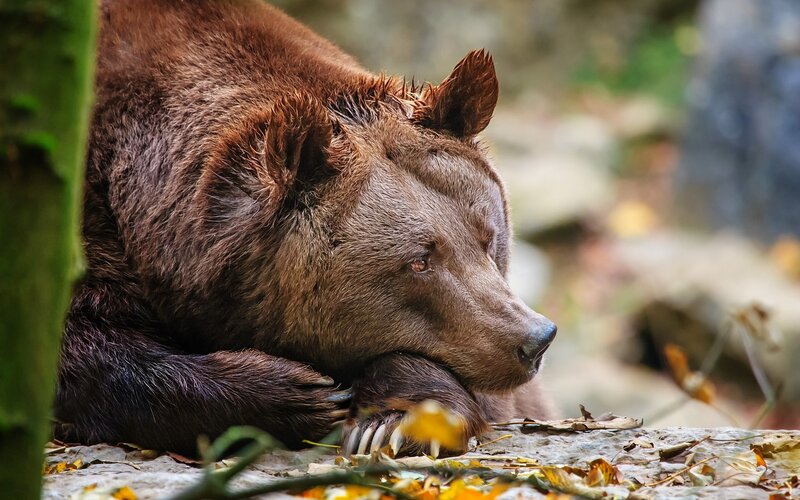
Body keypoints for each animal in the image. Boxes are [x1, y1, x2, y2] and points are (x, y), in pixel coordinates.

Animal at [54, 0, 557, 456]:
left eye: (488, 237)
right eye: (418, 261)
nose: (533, 340)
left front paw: (391, 420)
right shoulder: (87, 219)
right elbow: (84, 351)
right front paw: (300, 393)